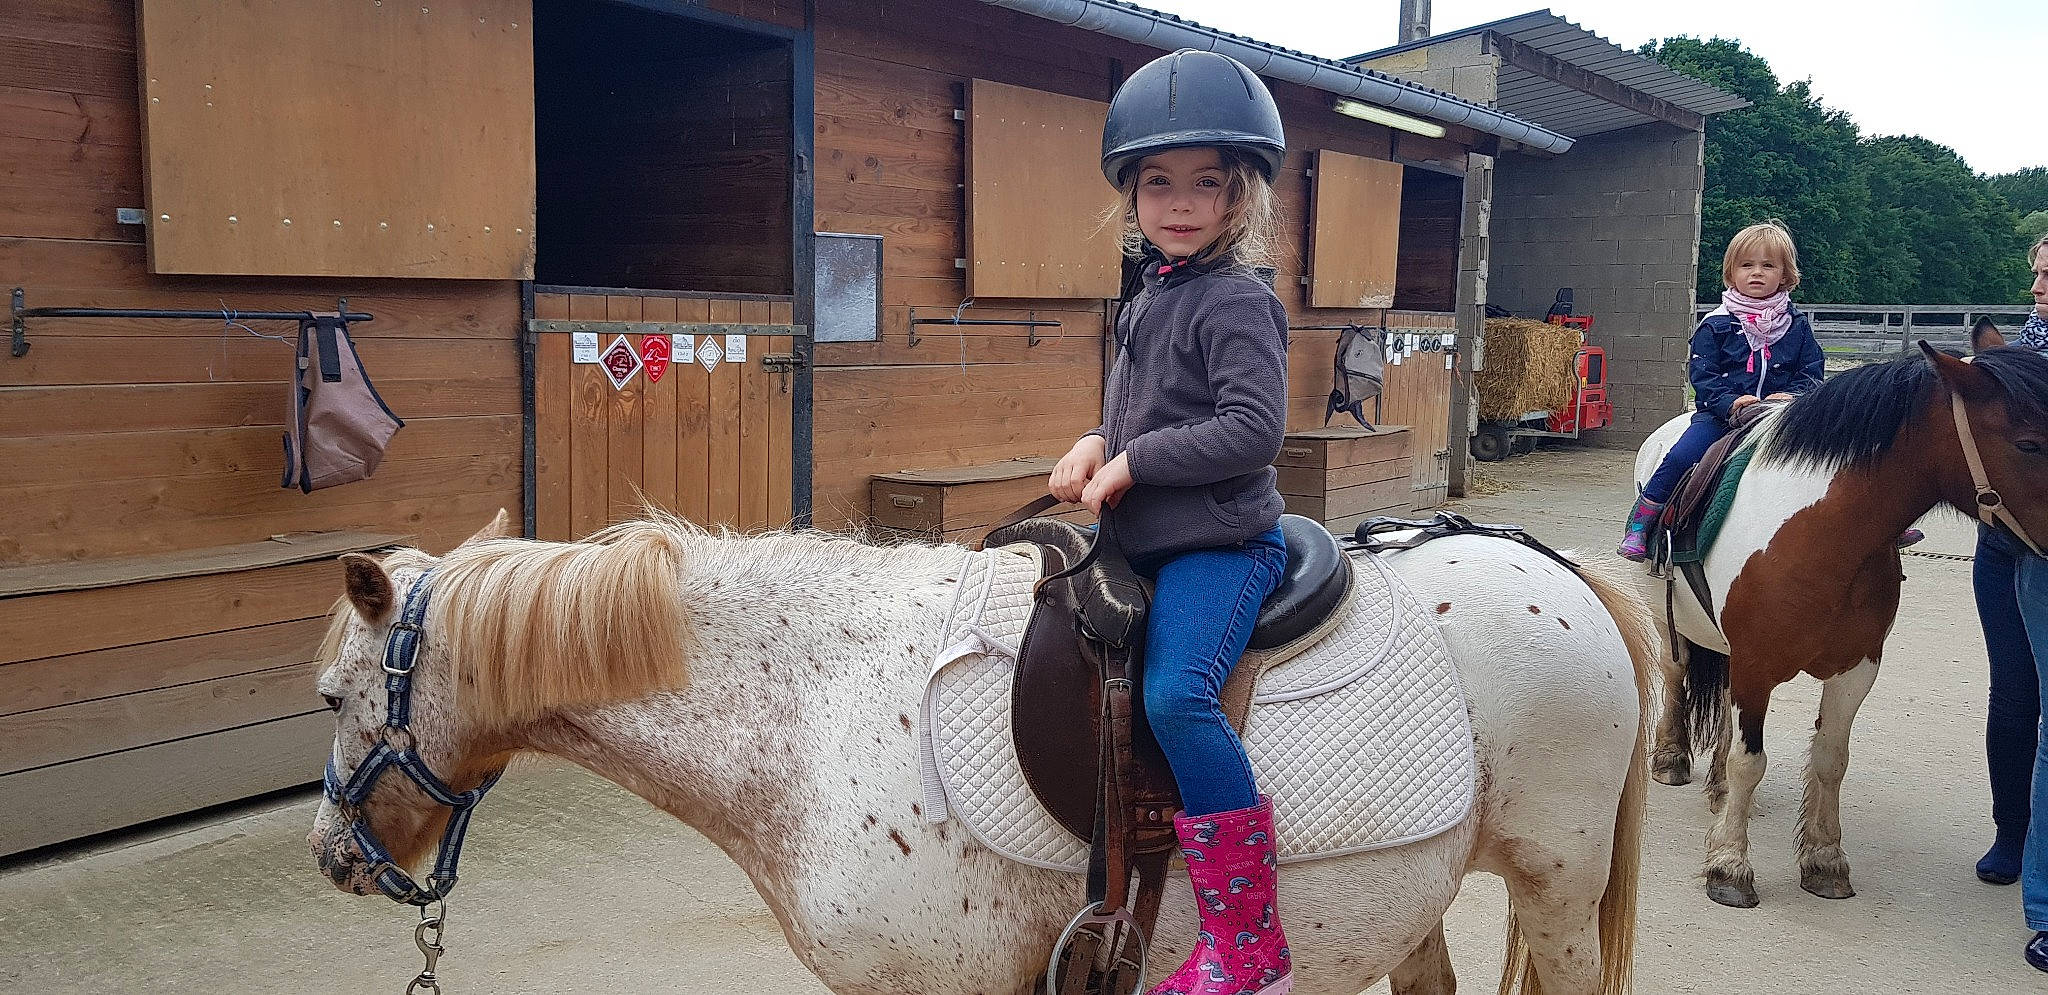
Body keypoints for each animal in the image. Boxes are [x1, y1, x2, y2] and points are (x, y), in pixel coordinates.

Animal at [1636, 343, 2048, 909]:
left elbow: (1831, 760)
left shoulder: (1856, 668)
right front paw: (1730, 867)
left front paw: (1825, 860)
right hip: (1670, 621)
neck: (1826, 532)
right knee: (1677, 676)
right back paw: (1672, 757)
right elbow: (1750, 760)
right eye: (2029, 443)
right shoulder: (1757, 666)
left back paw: (1718, 788)